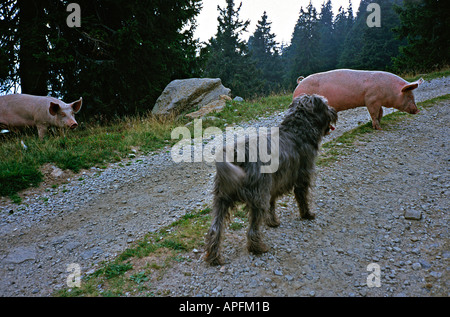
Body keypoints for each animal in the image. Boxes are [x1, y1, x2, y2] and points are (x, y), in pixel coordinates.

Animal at [206, 94, 336, 264]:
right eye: (326, 105)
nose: (334, 111)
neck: (297, 131)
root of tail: (236, 153)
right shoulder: (302, 178)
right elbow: (303, 198)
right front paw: (307, 215)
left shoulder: (273, 185)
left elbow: (272, 205)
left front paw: (272, 222)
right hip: (258, 197)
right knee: (252, 230)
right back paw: (258, 248)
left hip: (222, 199)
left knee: (215, 229)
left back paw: (214, 256)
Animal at [294, 68, 424, 129]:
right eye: (409, 96)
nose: (418, 110)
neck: (388, 89)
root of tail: (300, 83)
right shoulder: (371, 99)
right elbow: (373, 113)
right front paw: (379, 128)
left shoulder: (377, 101)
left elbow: (380, 112)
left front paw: (380, 123)